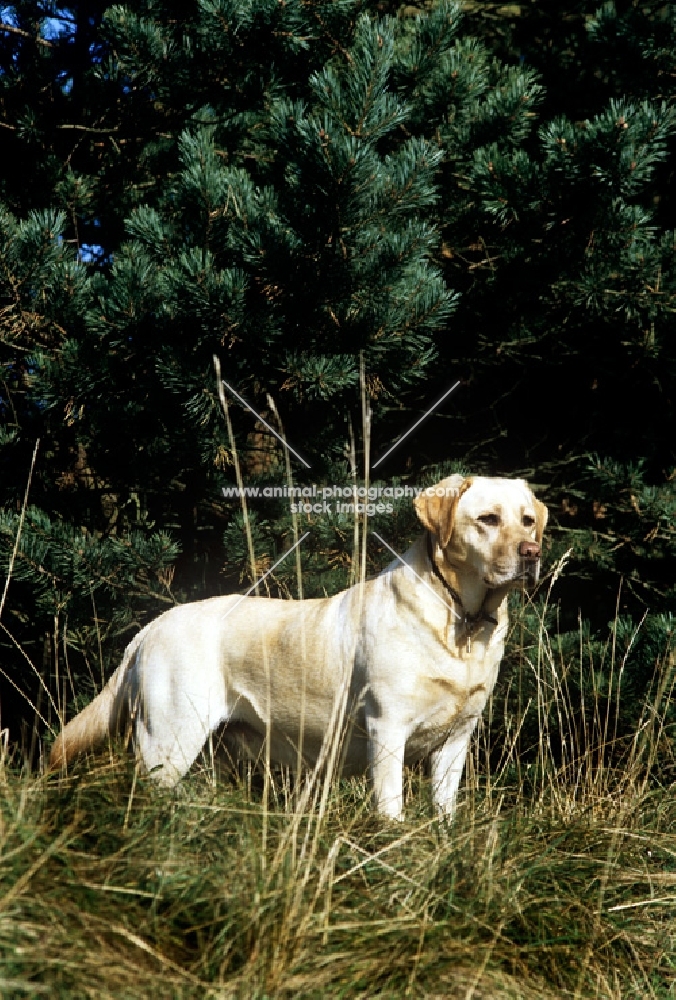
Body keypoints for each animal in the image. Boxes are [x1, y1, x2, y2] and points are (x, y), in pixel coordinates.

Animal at [50, 476, 548, 820]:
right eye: (488, 519)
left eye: (527, 520)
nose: (532, 553)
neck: (461, 619)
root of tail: (150, 627)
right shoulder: (387, 730)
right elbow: (391, 810)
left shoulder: (456, 739)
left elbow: (445, 814)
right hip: (168, 741)